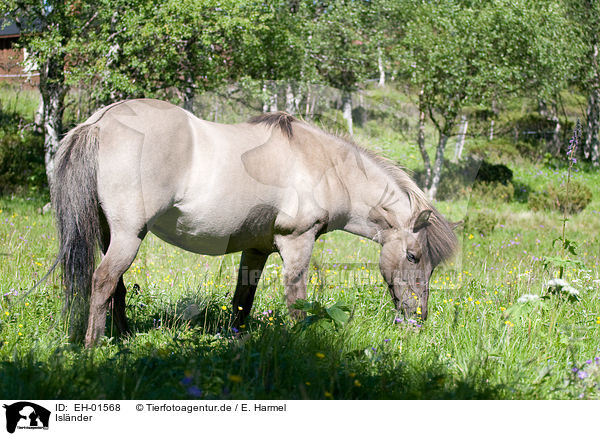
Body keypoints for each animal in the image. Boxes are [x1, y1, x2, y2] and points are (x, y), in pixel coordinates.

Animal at [51, 99, 458, 348]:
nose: (417, 318)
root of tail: (99, 122)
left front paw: (236, 341)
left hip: (111, 234)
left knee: (115, 287)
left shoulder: (257, 249)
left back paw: (122, 339)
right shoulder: (296, 243)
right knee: (103, 281)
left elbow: (242, 301)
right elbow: (296, 301)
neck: (322, 164)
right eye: (413, 257)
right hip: (128, 235)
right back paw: (93, 348)